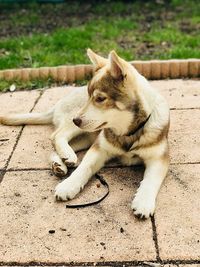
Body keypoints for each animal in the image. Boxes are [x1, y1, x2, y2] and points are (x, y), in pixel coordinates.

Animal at [0, 50, 170, 220]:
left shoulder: (159, 158)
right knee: (56, 135)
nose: (76, 120)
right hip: (79, 128)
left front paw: (144, 201)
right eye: (89, 96)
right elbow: (84, 167)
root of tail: (57, 105)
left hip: (87, 136)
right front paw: (69, 185)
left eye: (100, 98)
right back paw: (67, 156)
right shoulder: (99, 147)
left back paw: (60, 163)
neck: (128, 132)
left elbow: (151, 180)